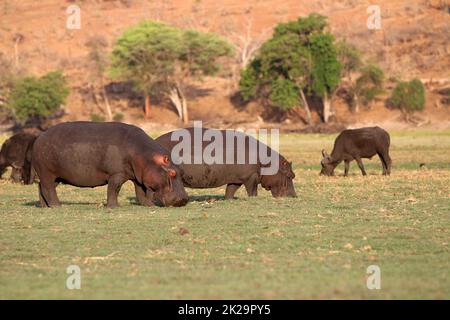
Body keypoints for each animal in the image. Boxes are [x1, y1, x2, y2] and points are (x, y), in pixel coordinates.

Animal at [32, 121, 188, 209]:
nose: (184, 199)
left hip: (55, 176)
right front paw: (114, 207)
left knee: (42, 187)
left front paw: (149, 205)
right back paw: (57, 206)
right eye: (172, 172)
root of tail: (39, 136)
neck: (144, 155)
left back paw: (44, 206)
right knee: (48, 188)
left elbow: (140, 191)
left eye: (181, 172)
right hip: (47, 172)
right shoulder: (117, 174)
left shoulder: (138, 176)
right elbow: (114, 189)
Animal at [156, 127, 298, 198]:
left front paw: (229, 199)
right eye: (290, 175)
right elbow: (252, 192)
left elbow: (230, 191)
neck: (269, 164)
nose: (294, 196)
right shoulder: (251, 177)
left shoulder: (236, 179)